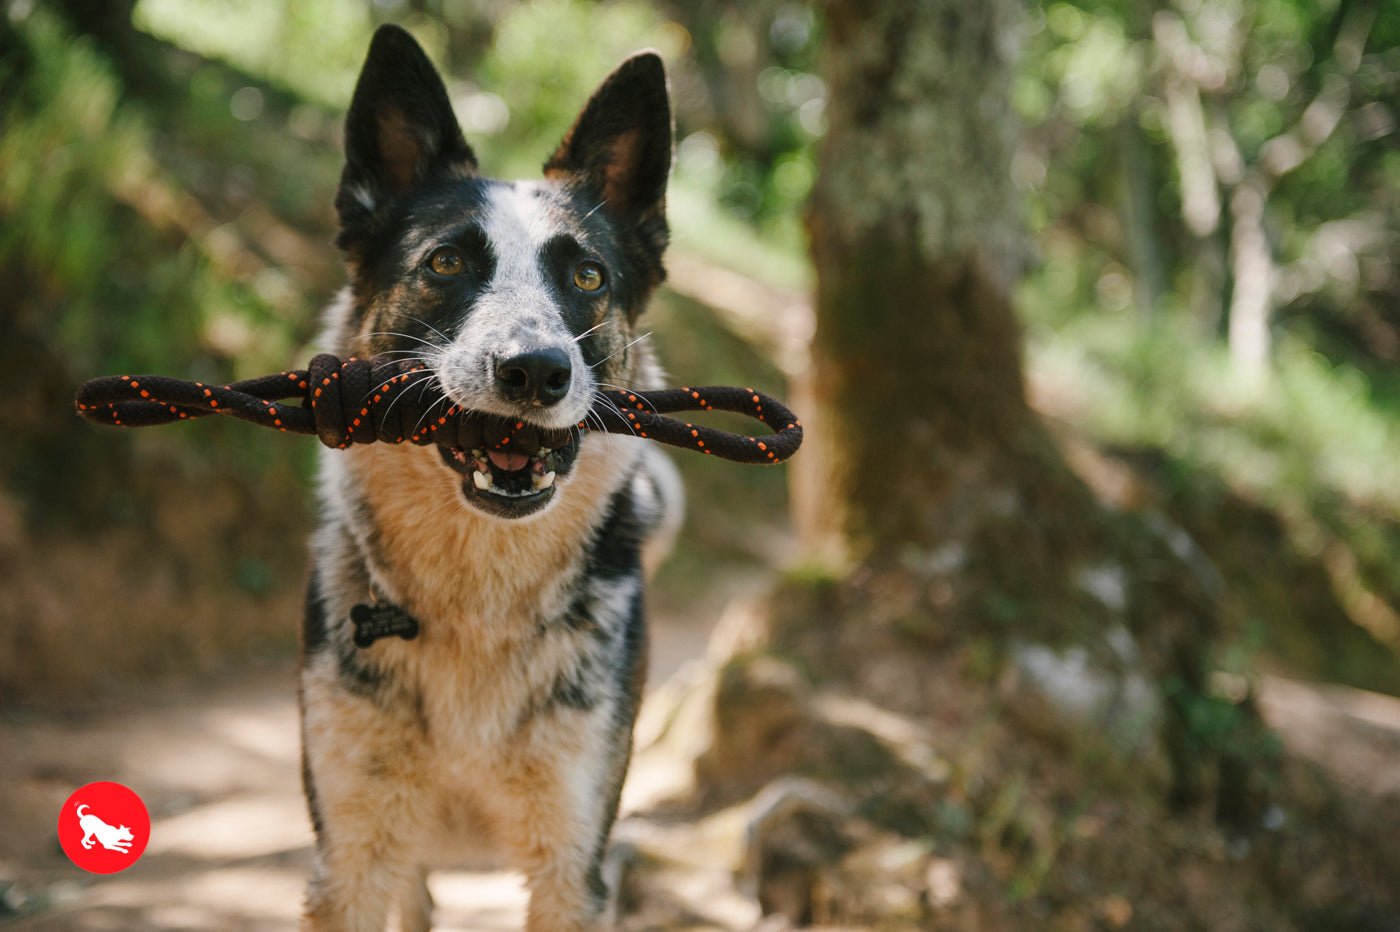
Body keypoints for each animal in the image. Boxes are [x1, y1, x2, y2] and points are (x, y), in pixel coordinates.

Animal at [301, 23, 683, 929]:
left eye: (588, 276)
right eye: (445, 264)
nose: (535, 371)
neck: (479, 598)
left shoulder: (573, 867)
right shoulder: (352, 858)